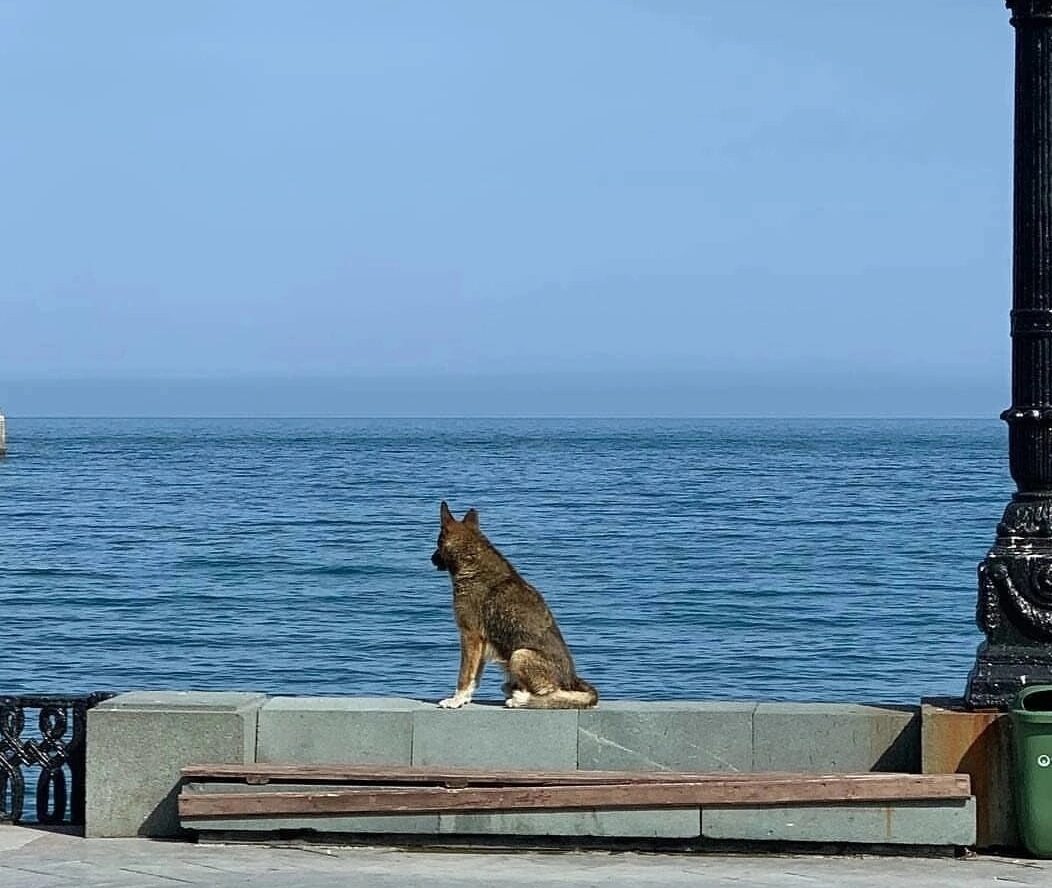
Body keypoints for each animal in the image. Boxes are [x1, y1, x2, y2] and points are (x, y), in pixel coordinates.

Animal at [429, 502, 601, 711]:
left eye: (438, 543)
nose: (431, 558)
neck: (471, 559)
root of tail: (573, 680)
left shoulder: (470, 635)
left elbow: (464, 675)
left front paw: (456, 700)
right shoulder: (480, 642)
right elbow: (474, 676)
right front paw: (466, 698)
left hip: (519, 655)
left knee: (552, 695)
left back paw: (520, 698)